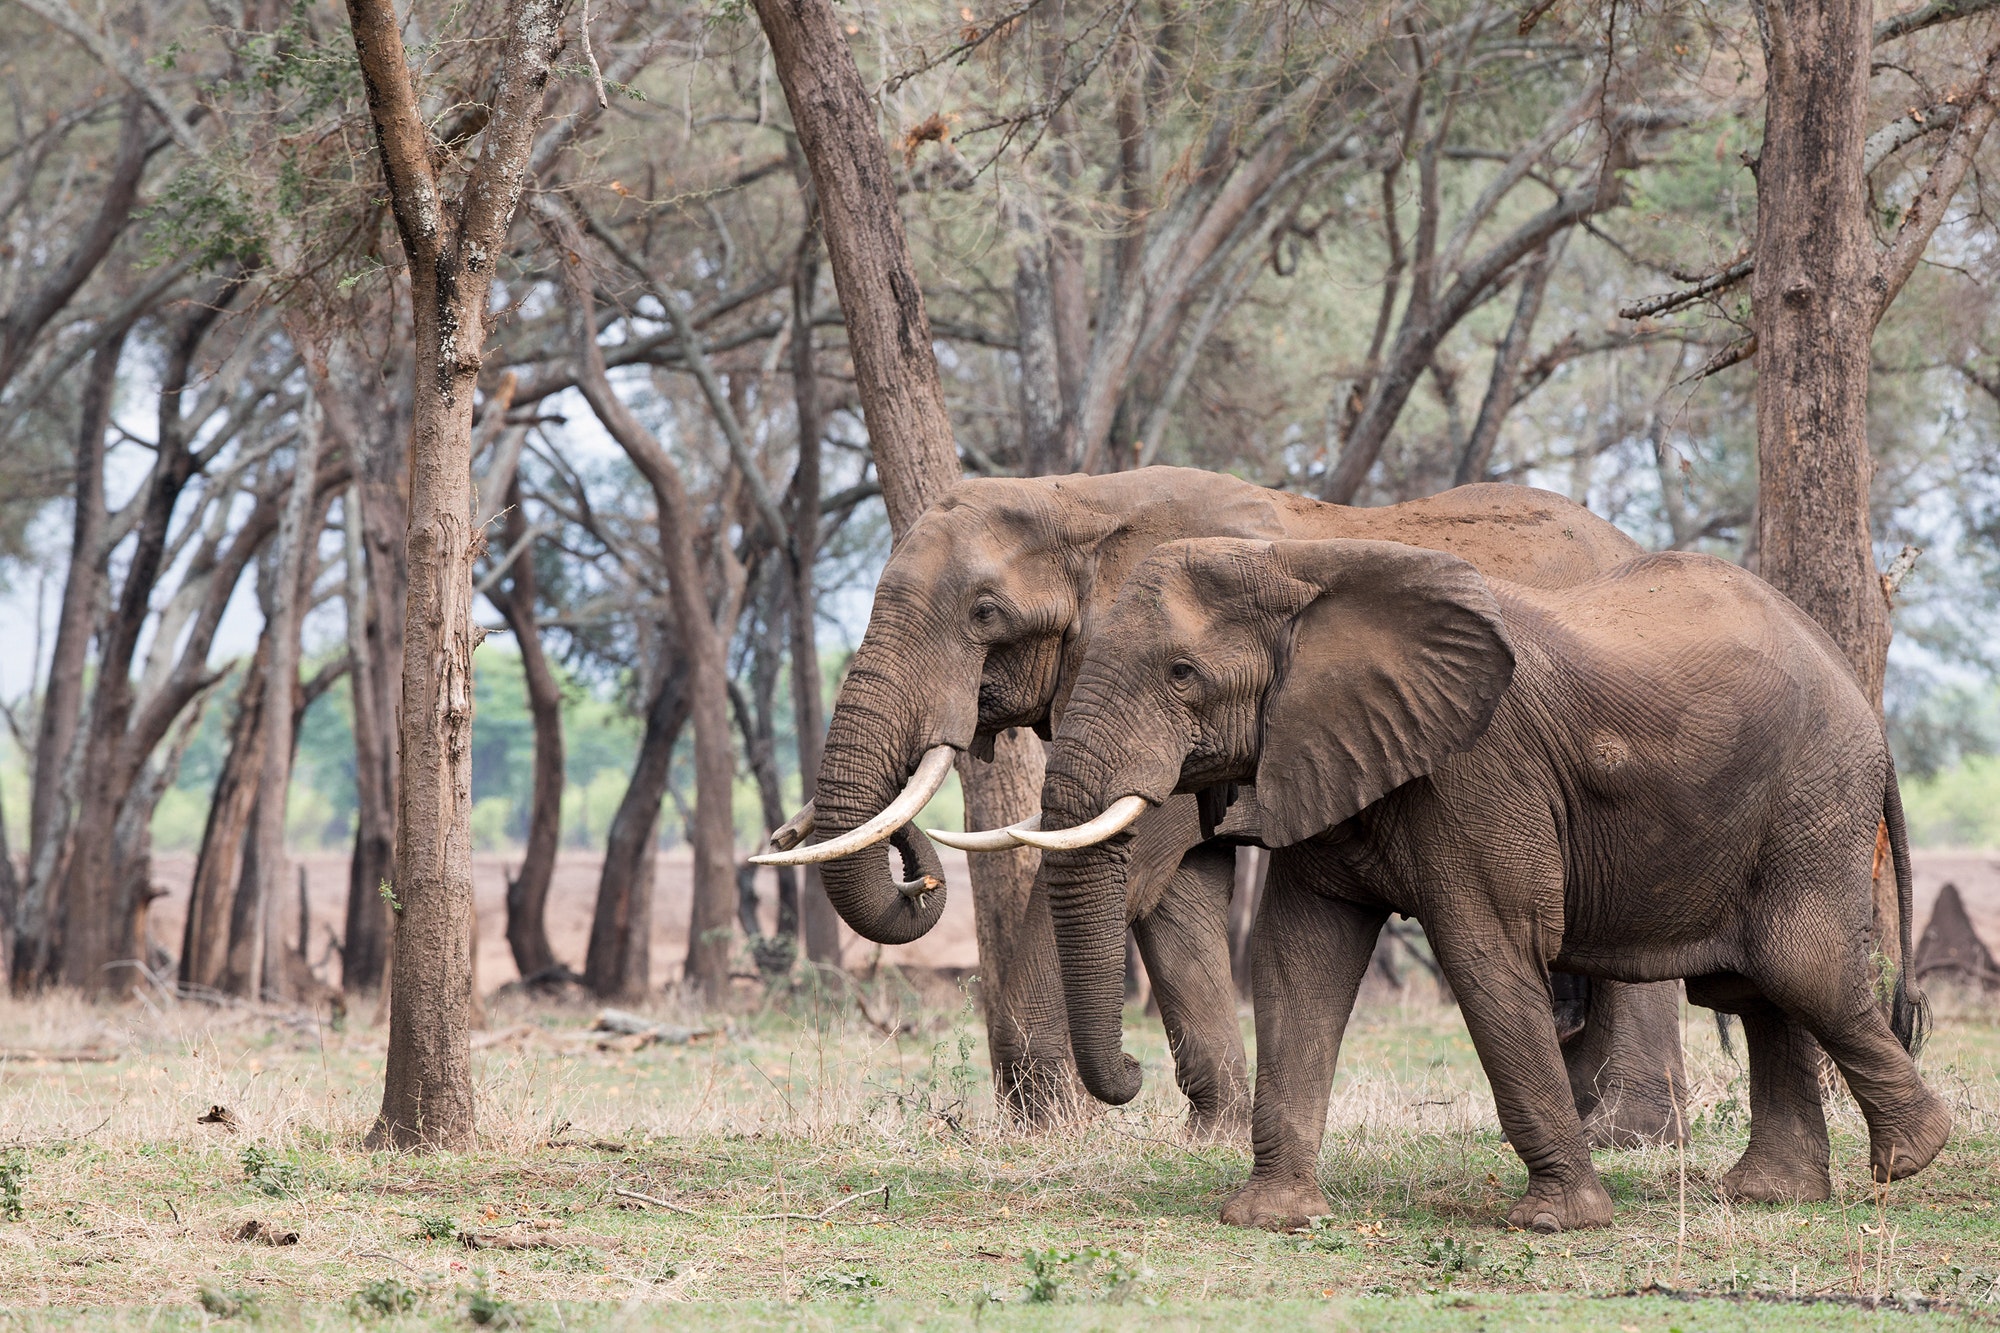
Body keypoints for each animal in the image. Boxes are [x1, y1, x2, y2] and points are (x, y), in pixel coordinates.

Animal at [756, 462, 1696, 1136]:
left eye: (985, 614)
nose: (919, 878)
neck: (1079, 499)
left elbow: (1133, 867)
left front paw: (1044, 1127)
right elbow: (1177, 898)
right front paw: (1209, 1133)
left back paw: (1628, 1132)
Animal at [1040, 536, 1944, 1232]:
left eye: (1181, 673)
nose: (1132, 1070)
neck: (1301, 561)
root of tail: (1863, 697)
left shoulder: (1478, 771)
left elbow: (1486, 950)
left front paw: (1555, 1222)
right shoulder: (1321, 748)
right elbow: (1301, 956)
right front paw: (1271, 1218)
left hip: (1812, 795)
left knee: (1801, 967)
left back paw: (1913, 1154)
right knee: (1758, 988)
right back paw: (1771, 1195)